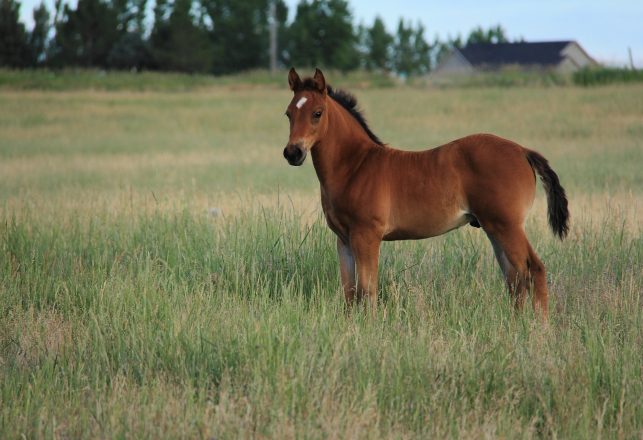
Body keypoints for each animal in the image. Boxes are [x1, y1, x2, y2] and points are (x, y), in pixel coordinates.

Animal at [282, 67, 568, 318]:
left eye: (317, 113)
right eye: (288, 114)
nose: (293, 153)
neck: (355, 166)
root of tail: (523, 151)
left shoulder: (366, 236)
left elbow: (367, 290)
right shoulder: (343, 239)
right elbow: (350, 293)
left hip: (508, 226)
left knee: (533, 270)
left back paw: (538, 331)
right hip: (494, 228)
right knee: (514, 277)